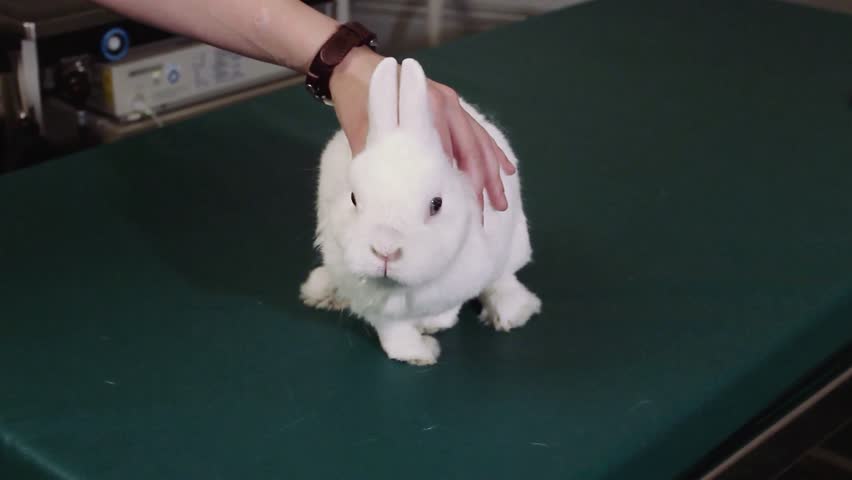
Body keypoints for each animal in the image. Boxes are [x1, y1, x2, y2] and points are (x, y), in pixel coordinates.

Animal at [300, 57, 541, 365]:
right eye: (353, 198)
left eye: (436, 204)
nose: (385, 251)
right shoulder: (375, 306)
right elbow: (395, 335)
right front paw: (420, 354)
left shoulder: (462, 280)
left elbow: (448, 309)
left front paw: (433, 325)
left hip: (514, 244)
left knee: (503, 278)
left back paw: (510, 312)